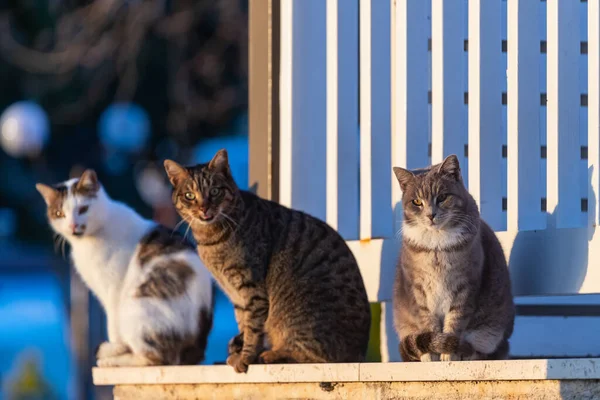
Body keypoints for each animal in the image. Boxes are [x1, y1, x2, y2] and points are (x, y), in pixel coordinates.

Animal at [36, 170, 214, 368]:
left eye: (83, 209)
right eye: (59, 213)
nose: (73, 226)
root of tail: (197, 351)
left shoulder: (114, 289)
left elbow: (112, 326)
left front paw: (115, 347)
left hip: (135, 309)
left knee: (158, 359)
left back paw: (112, 360)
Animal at [164, 148, 370, 374]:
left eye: (215, 191)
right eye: (189, 196)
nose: (204, 209)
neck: (211, 239)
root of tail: (360, 354)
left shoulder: (252, 288)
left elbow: (253, 329)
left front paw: (246, 357)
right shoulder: (237, 297)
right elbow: (244, 325)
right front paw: (242, 353)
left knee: (313, 356)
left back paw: (271, 355)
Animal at [392, 156, 512, 362]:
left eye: (442, 197)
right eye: (416, 201)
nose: (430, 215)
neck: (437, 244)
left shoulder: (465, 286)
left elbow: (455, 321)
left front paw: (448, 354)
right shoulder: (418, 289)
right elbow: (428, 324)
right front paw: (432, 354)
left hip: (490, 333)